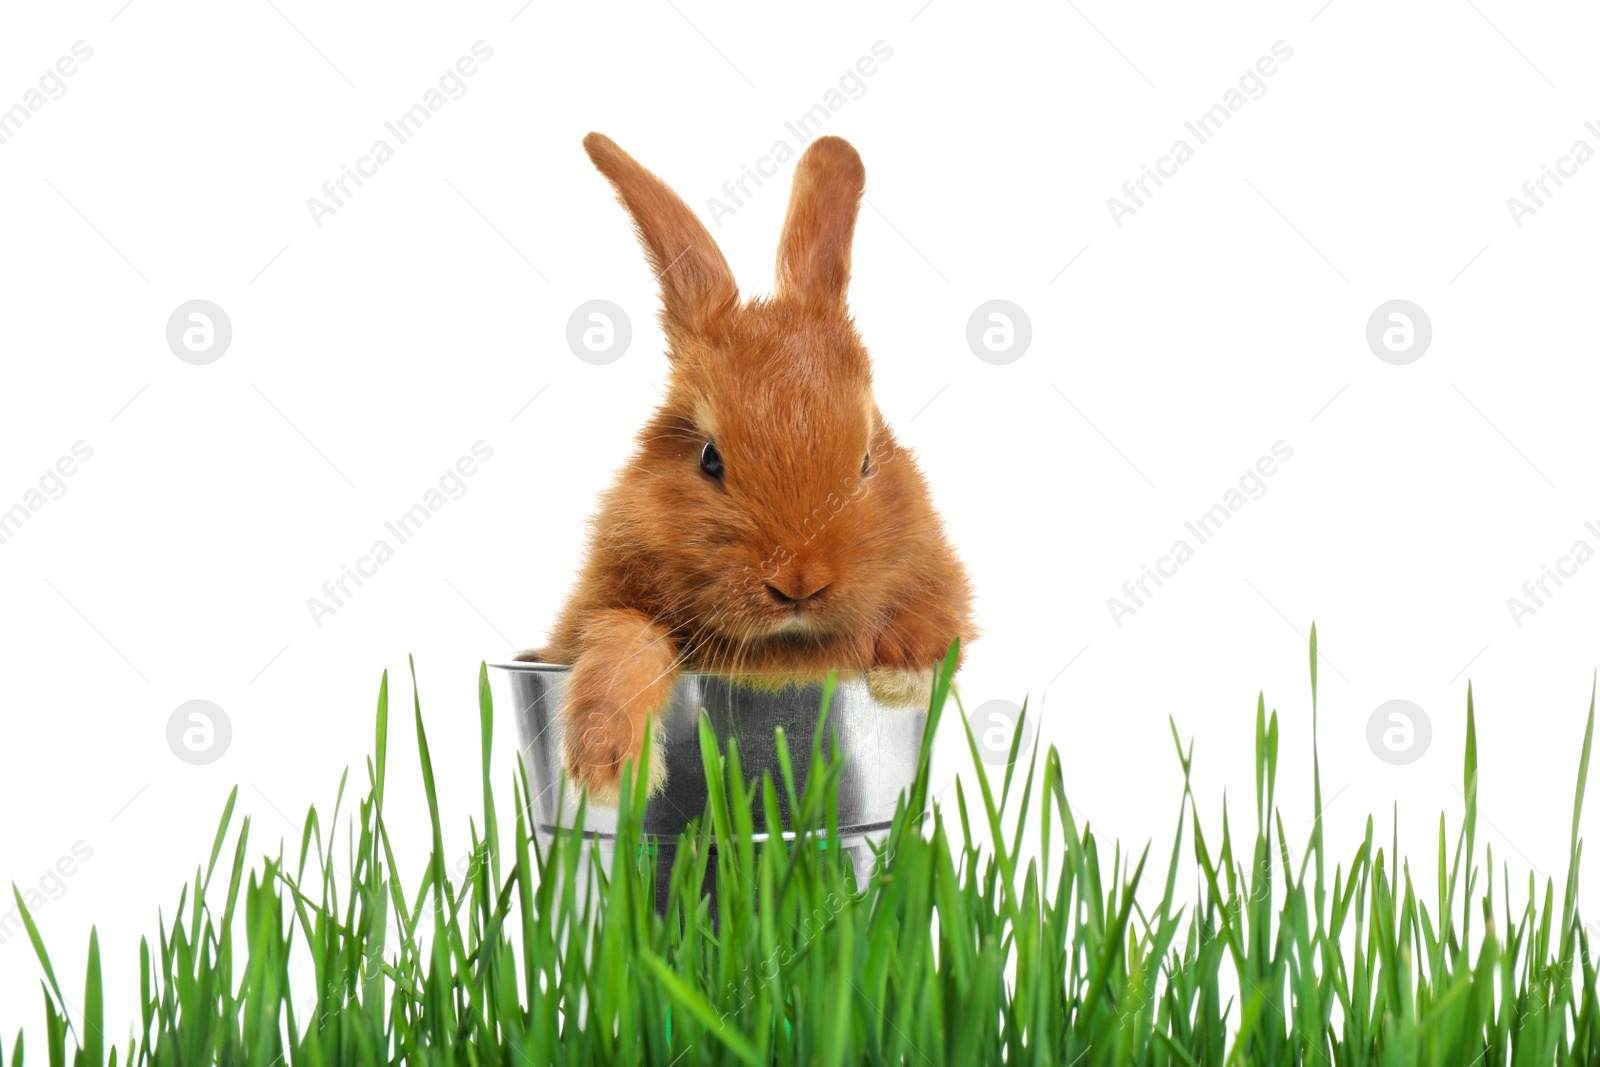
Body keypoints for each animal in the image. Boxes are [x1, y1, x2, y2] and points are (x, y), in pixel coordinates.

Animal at [524, 131, 972, 799]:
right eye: (710, 459)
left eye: (867, 460)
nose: (799, 582)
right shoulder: (599, 608)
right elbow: (622, 637)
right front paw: (608, 769)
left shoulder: (932, 563)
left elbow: (941, 608)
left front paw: (907, 672)